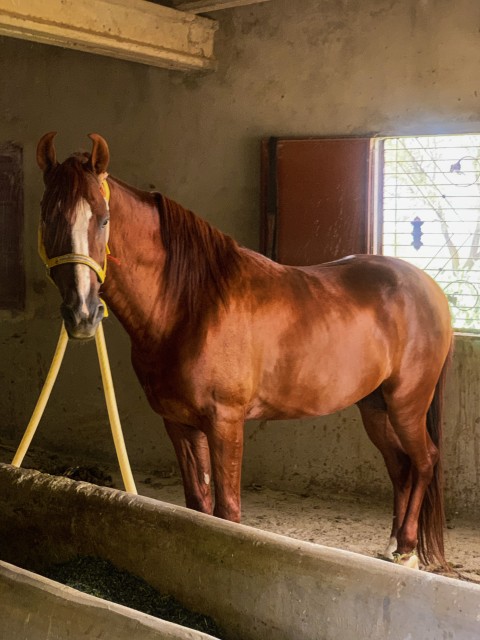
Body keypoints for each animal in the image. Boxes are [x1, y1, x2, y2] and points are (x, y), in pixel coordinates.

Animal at [36, 132, 453, 569]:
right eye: (46, 217)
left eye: (103, 219)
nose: (82, 314)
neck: (190, 305)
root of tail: (430, 289)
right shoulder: (179, 424)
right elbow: (197, 506)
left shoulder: (225, 424)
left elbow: (227, 513)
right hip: (374, 407)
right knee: (400, 466)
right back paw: (391, 546)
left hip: (407, 404)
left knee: (424, 460)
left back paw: (406, 546)